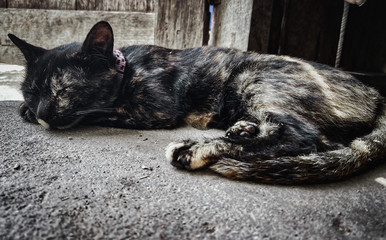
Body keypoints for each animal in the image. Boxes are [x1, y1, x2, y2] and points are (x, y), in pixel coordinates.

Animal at [9, 21, 386, 185]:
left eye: (64, 90)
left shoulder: (155, 109)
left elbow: (100, 112)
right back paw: (241, 128)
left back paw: (197, 148)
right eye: (30, 92)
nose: (42, 112)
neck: (128, 67)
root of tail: (375, 93)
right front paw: (26, 111)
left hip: (252, 74)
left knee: (306, 136)